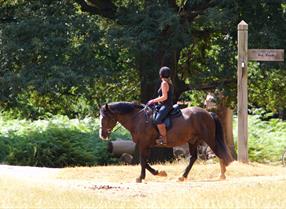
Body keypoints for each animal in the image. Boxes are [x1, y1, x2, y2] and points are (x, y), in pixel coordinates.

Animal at [99, 102, 233, 182]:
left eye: (105, 118)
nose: (102, 135)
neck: (138, 119)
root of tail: (208, 113)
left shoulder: (143, 144)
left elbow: (142, 161)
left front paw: (141, 177)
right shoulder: (146, 145)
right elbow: (145, 162)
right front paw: (159, 172)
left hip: (208, 138)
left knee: (218, 152)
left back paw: (222, 174)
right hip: (193, 141)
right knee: (193, 158)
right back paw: (183, 176)